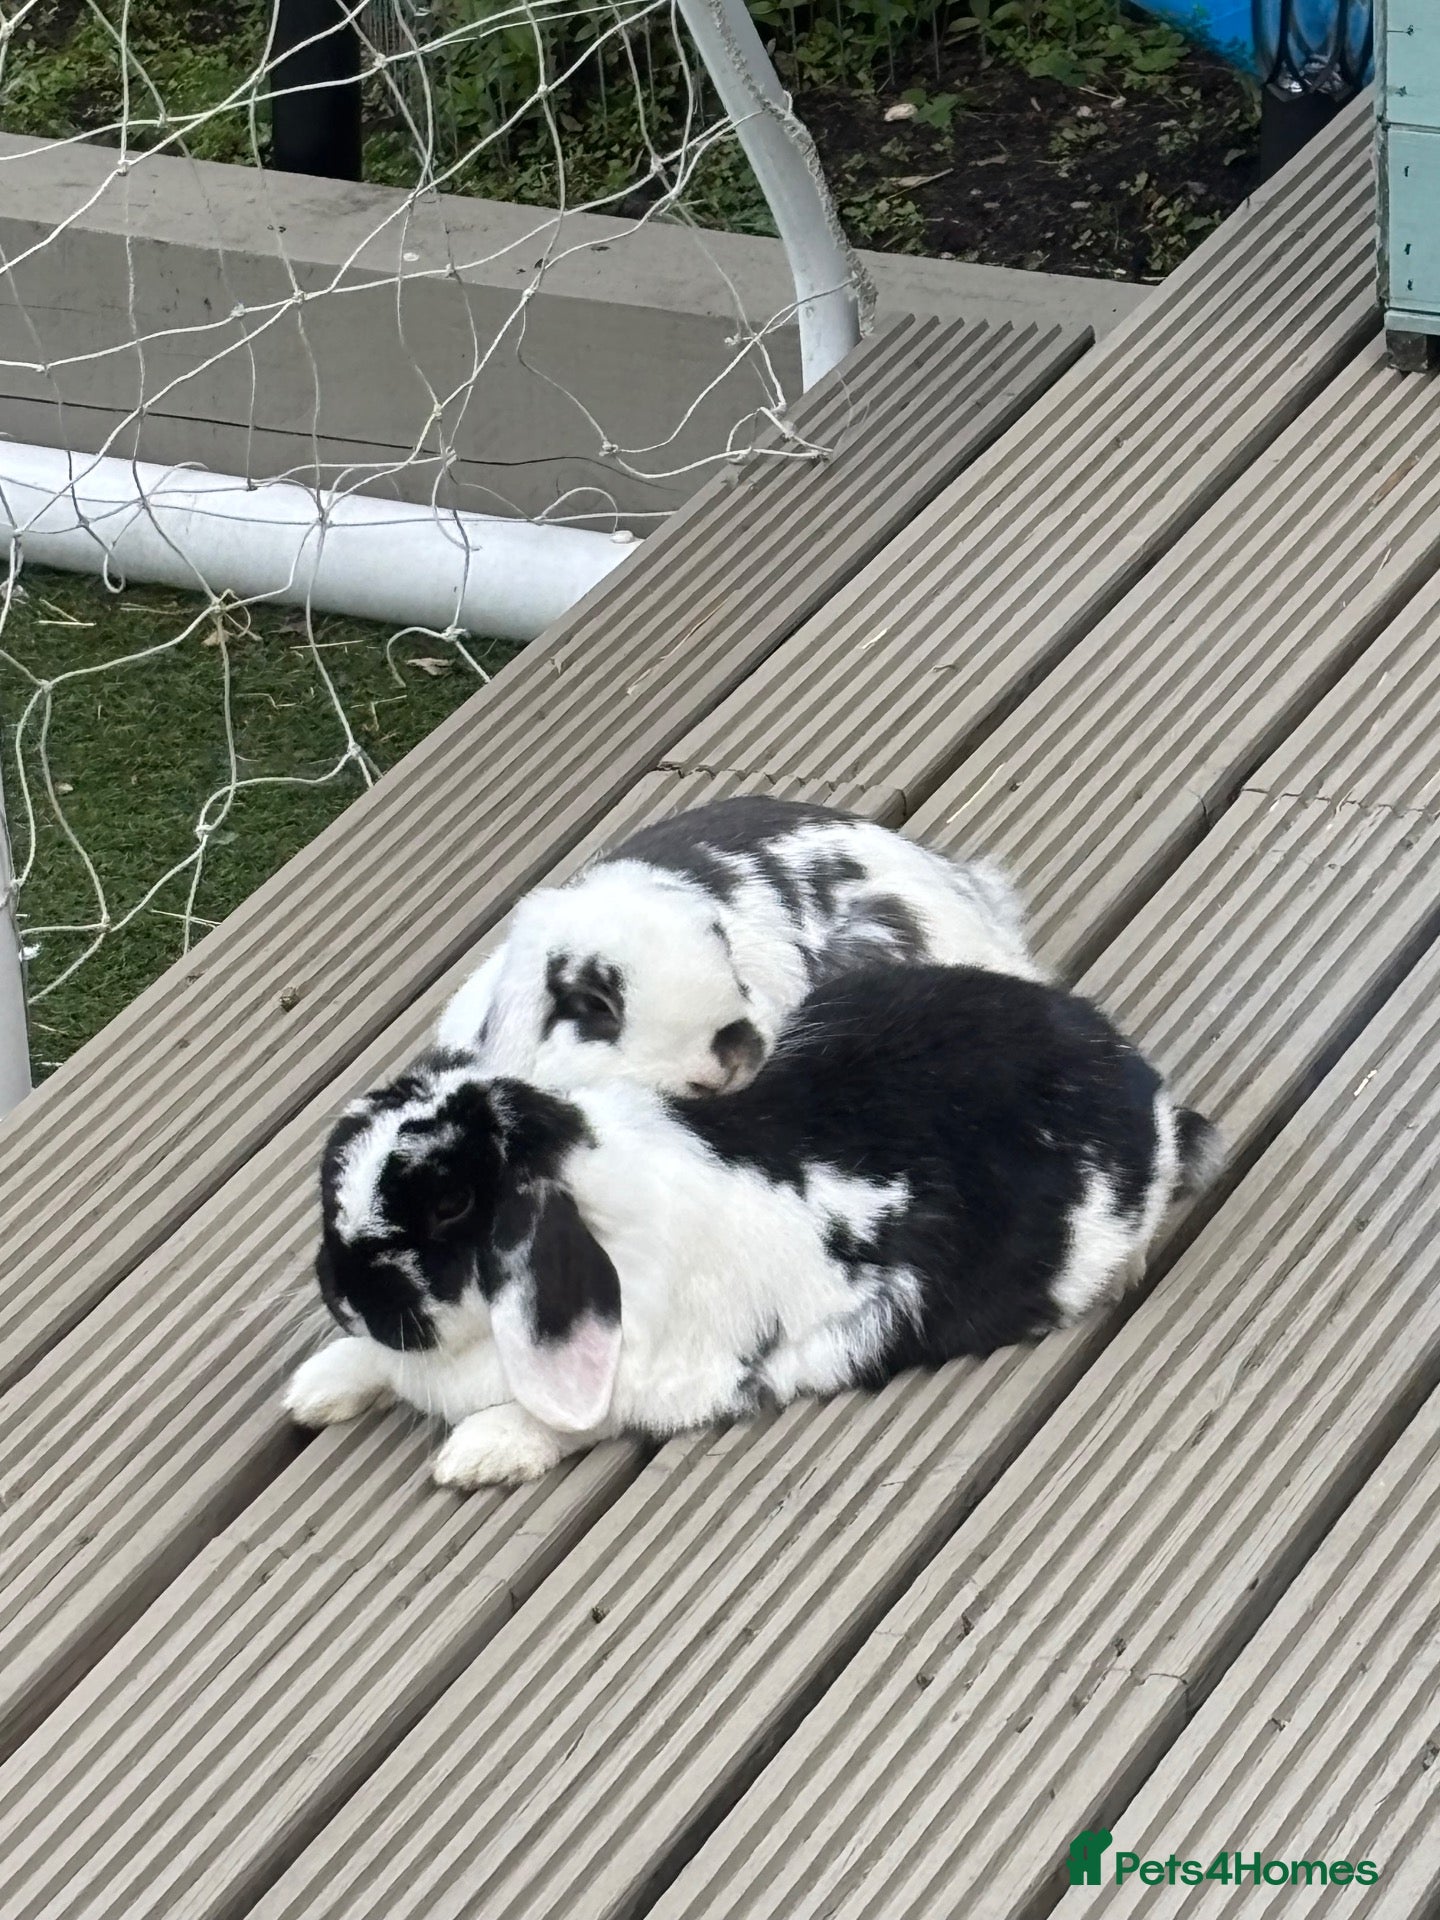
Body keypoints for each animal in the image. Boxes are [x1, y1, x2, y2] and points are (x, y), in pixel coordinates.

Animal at [286, 962, 1222, 1490]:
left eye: (449, 1204)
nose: (343, 1292)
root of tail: (1133, 1079)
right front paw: (316, 1387)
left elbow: (566, 1419)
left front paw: (475, 1455)